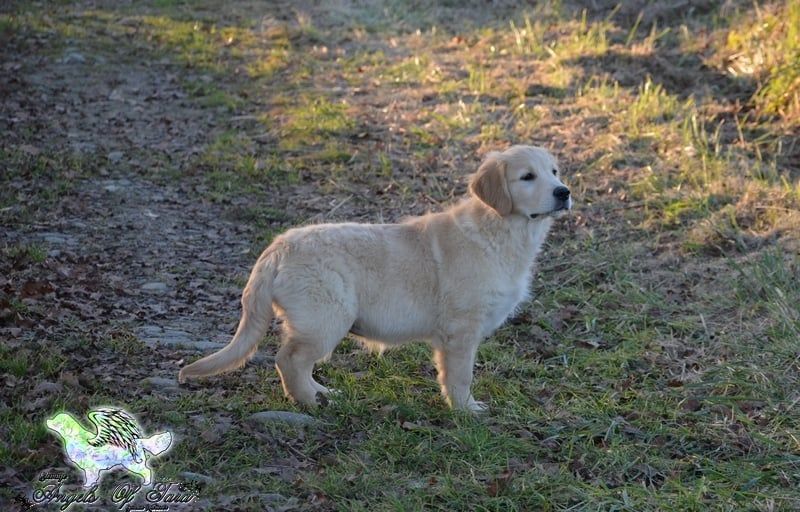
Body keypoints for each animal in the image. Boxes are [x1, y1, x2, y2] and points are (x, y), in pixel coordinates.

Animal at [179, 145, 572, 412]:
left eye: (555, 172)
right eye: (527, 177)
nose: (564, 192)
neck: (501, 228)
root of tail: (277, 248)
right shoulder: (461, 330)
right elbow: (460, 376)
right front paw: (466, 410)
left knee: (298, 362)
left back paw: (321, 393)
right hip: (326, 317)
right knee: (289, 359)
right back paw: (309, 402)